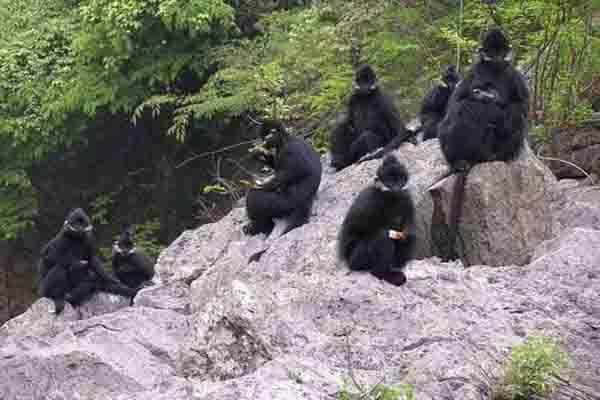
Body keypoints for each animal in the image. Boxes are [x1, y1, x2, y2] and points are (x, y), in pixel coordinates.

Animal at [338, 155, 418, 286]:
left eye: (399, 181)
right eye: (390, 182)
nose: (396, 188)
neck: (390, 199)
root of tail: (347, 261)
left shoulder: (407, 198)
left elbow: (408, 227)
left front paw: (403, 233)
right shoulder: (369, 200)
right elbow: (357, 228)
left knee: (410, 238)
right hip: (357, 259)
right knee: (381, 237)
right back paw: (383, 274)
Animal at [436, 29, 528, 258]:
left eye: (499, 52)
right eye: (490, 52)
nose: (496, 58)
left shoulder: (512, 75)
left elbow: (520, 108)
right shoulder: (473, 72)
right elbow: (455, 104)